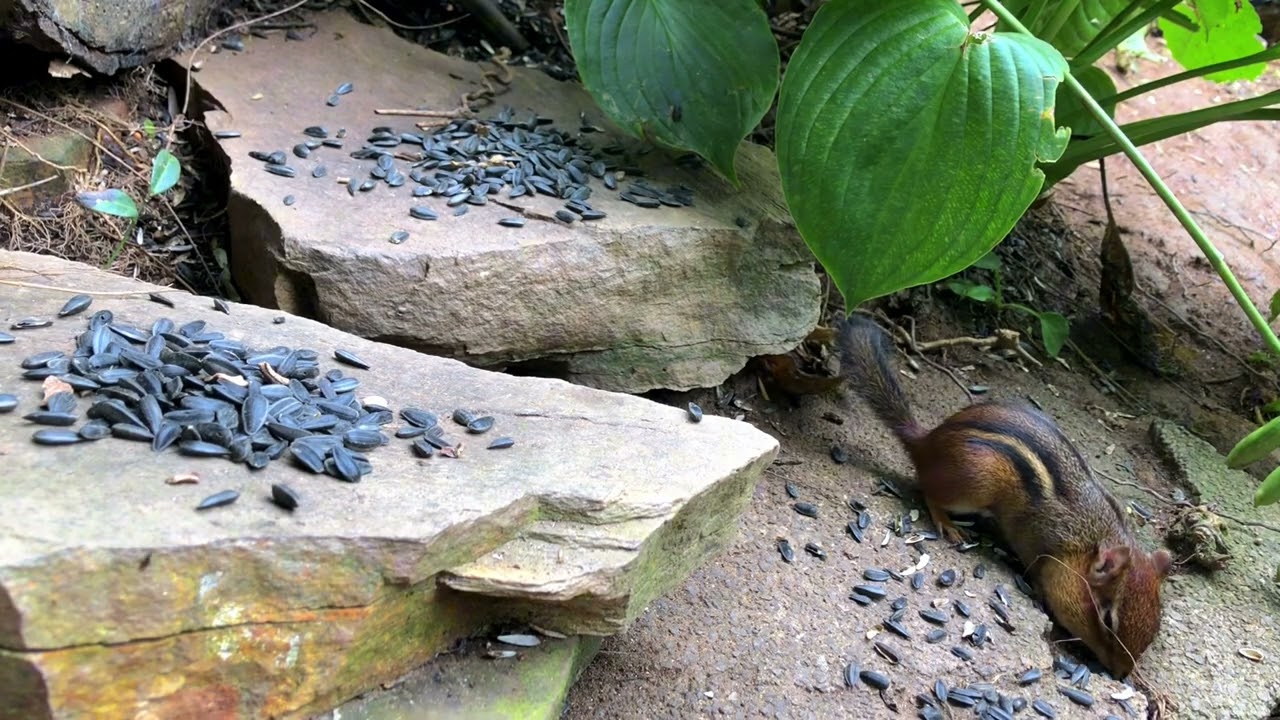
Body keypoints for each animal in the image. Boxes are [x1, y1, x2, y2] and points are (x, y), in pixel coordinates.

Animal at [836, 314, 1172, 679]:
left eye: (1154, 629)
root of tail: (927, 442)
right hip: (976, 482)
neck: (1086, 543)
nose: (1121, 674)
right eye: (1108, 620)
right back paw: (947, 523)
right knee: (929, 491)